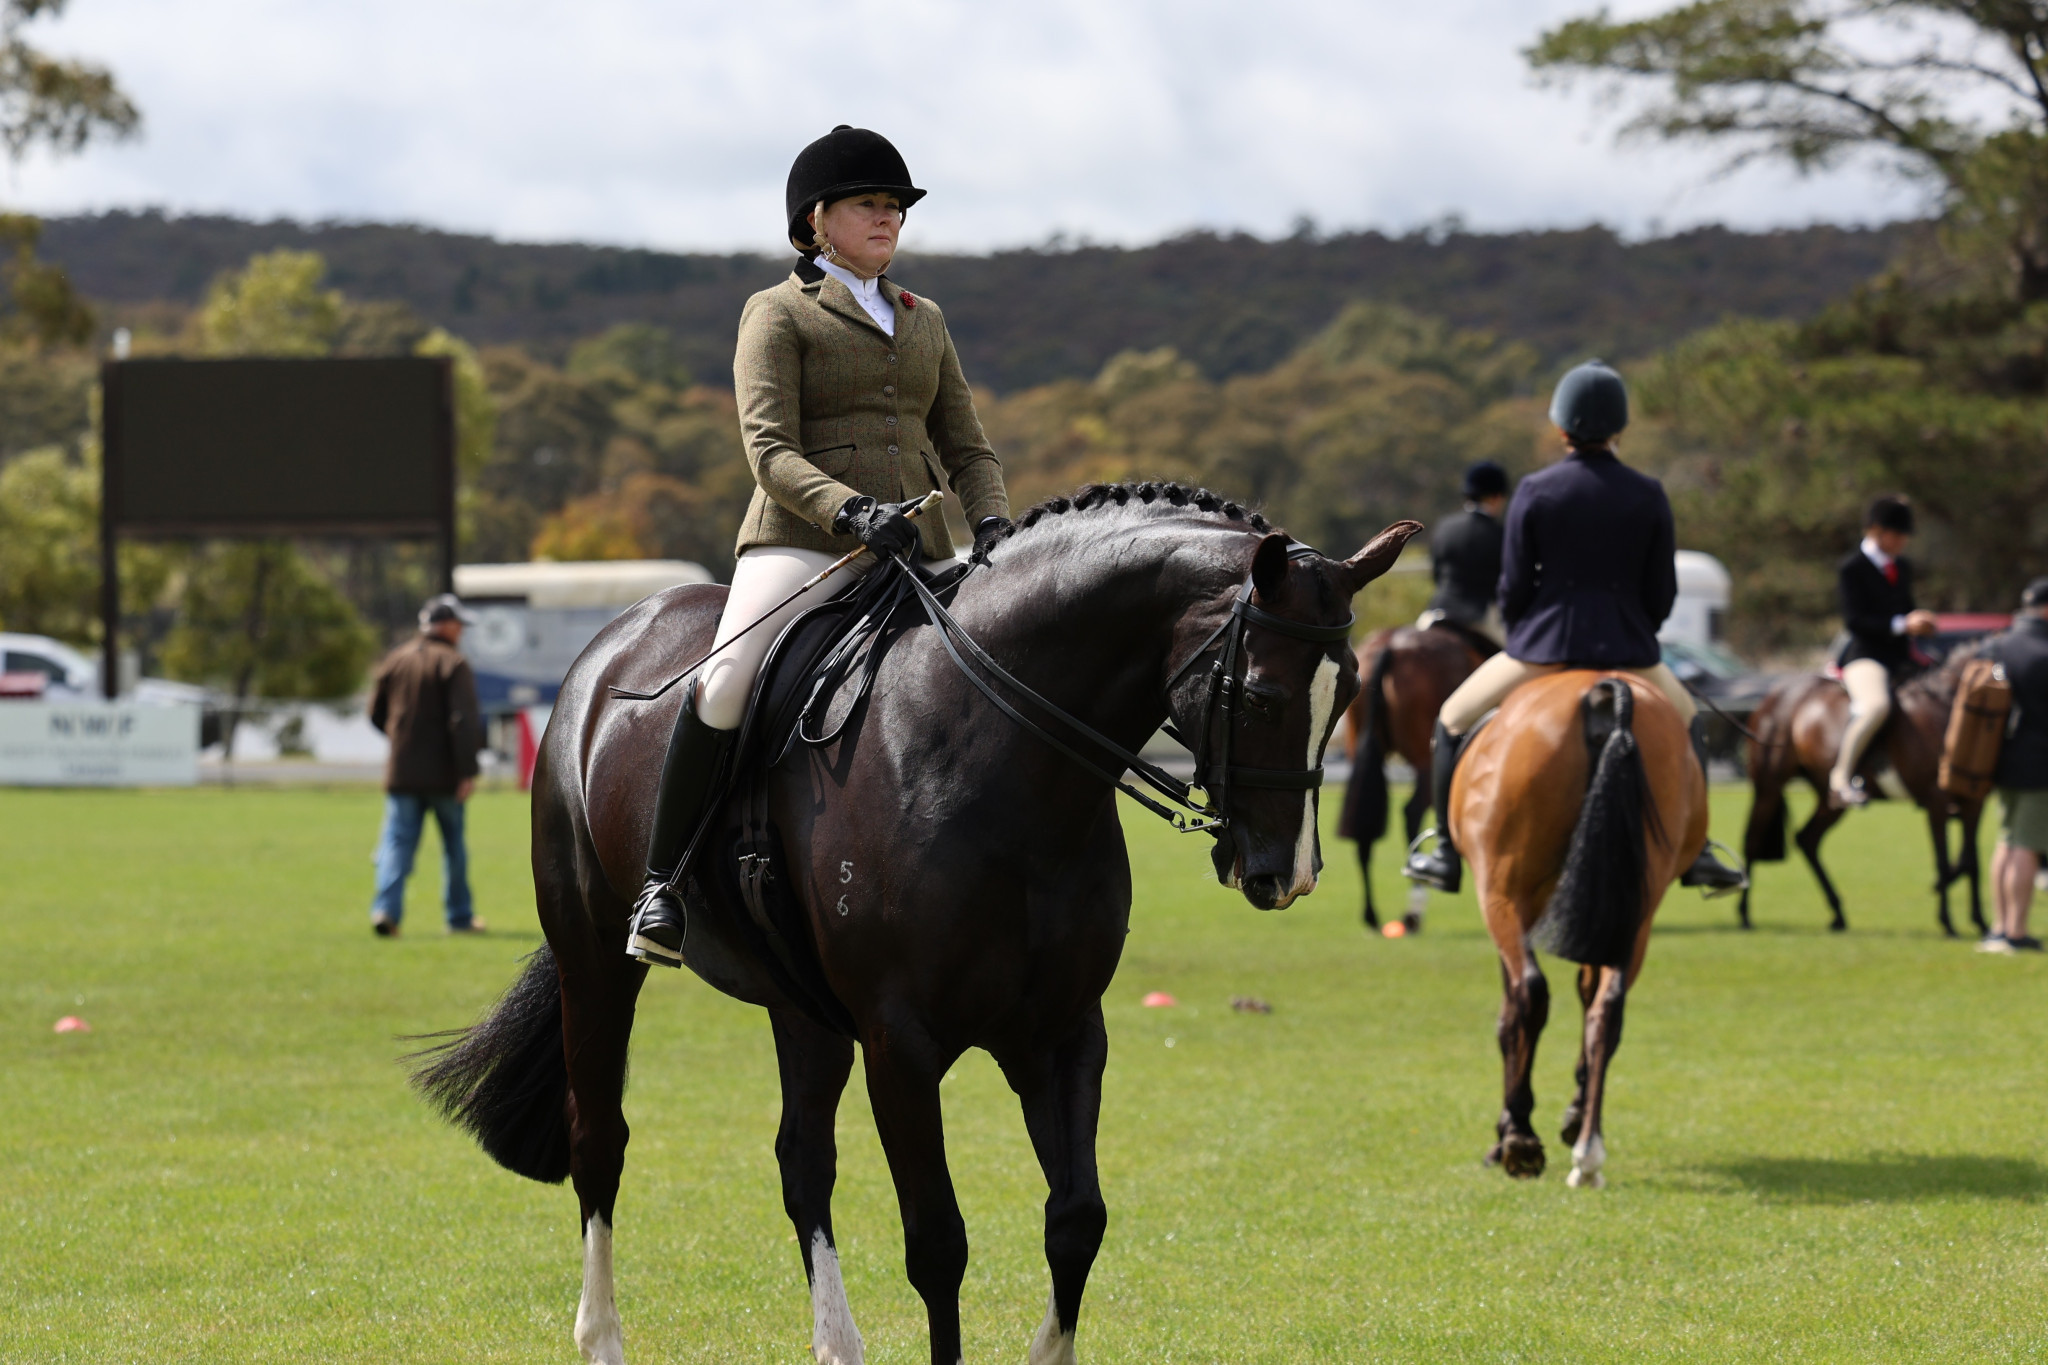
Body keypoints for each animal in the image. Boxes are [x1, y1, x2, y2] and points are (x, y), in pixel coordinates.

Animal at [411, 481, 1421, 1365]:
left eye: (1352, 688)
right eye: (1257, 696)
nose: (1284, 874)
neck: (1002, 763)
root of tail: (612, 644)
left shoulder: (1060, 1033)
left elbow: (1076, 1219)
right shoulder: (902, 1045)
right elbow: (938, 1242)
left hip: (802, 1008)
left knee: (802, 1162)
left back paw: (836, 1345)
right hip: (595, 961)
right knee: (600, 1142)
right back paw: (603, 1337)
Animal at [1336, 625, 1483, 931]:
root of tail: (1392, 641)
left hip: (1363, 749)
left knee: (1364, 826)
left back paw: (1372, 914)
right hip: (1425, 759)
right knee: (1413, 813)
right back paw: (1415, 907)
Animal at [1452, 671, 1707, 1189]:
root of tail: (1603, 691)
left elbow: (1508, 1017)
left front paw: (1507, 1134)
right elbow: (1589, 997)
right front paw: (1572, 1114)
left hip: (1503, 897)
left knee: (1530, 994)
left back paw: (1523, 1142)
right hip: (1635, 910)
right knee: (1607, 1008)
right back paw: (1588, 1152)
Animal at [1738, 646, 1988, 936]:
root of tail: (1775, 695)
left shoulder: (1974, 802)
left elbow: (1971, 861)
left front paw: (1981, 922)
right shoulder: (1937, 801)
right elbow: (1944, 860)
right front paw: (1947, 921)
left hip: (1829, 800)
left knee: (1807, 839)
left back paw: (1837, 914)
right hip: (1769, 787)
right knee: (1754, 841)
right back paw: (1744, 915)